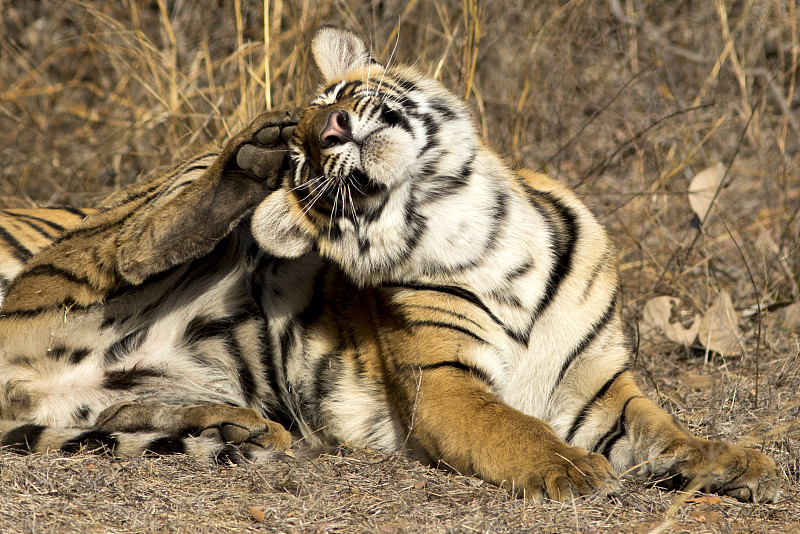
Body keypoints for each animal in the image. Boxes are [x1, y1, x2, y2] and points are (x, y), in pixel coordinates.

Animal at [0, 26, 780, 506]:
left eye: (338, 96)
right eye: (307, 160)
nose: (326, 129)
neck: (472, 220)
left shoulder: (599, 387)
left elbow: (668, 432)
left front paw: (741, 463)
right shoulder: (445, 385)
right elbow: (516, 429)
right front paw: (573, 470)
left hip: (107, 400)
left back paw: (243, 429)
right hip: (104, 244)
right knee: (125, 247)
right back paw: (244, 160)